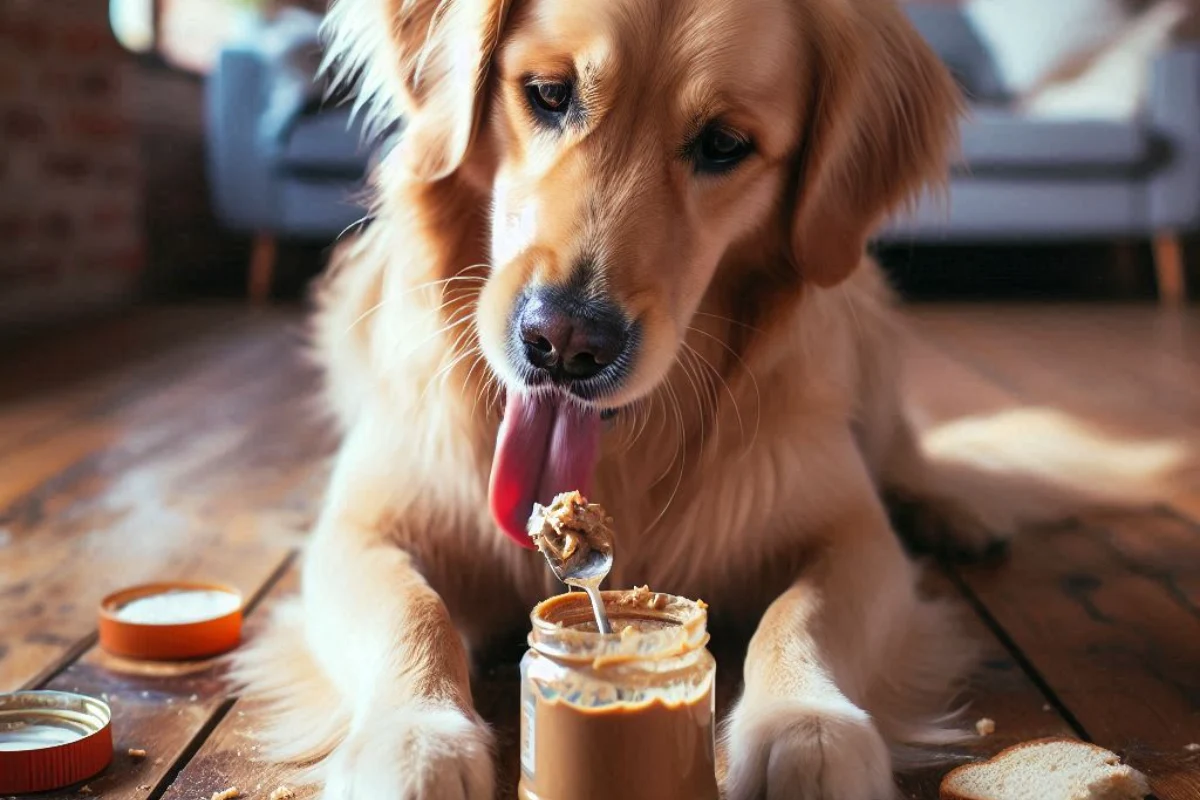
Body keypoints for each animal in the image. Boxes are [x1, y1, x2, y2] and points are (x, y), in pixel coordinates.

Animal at [236, 0, 1022, 796]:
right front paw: (415, 737)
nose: (564, 344)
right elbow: (412, 608)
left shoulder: (854, 534)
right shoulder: (360, 528)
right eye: (549, 94)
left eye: (724, 144)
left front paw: (807, 724)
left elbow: (801, 615)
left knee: (904, 452)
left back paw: (953, 511)